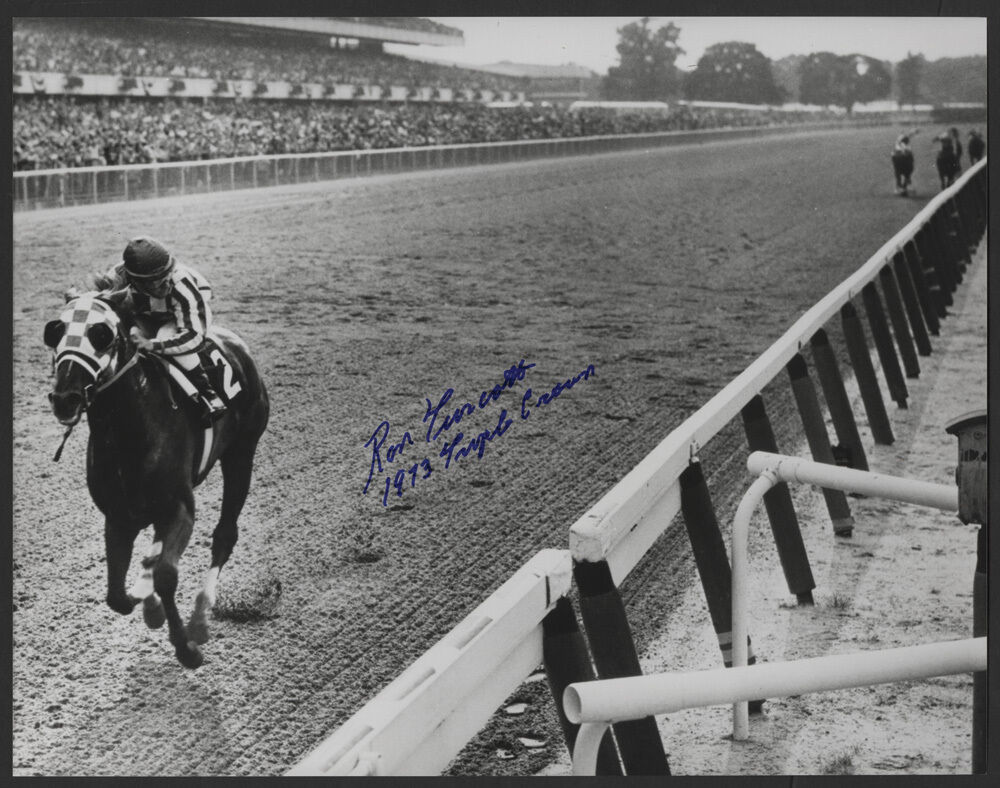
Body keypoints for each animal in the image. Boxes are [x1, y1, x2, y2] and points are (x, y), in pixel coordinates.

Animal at [45, 292, 268, 668]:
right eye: (56, 331)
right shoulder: (118, 517)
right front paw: (146, 601)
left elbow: (166, 574)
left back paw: (200, 619)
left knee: (225, 536)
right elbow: (117, 596)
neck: (128, 431)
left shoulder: (180, 508)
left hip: (241, 454)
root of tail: (237, 344)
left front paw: (186, 648)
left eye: (101, 333)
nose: (65, 398)